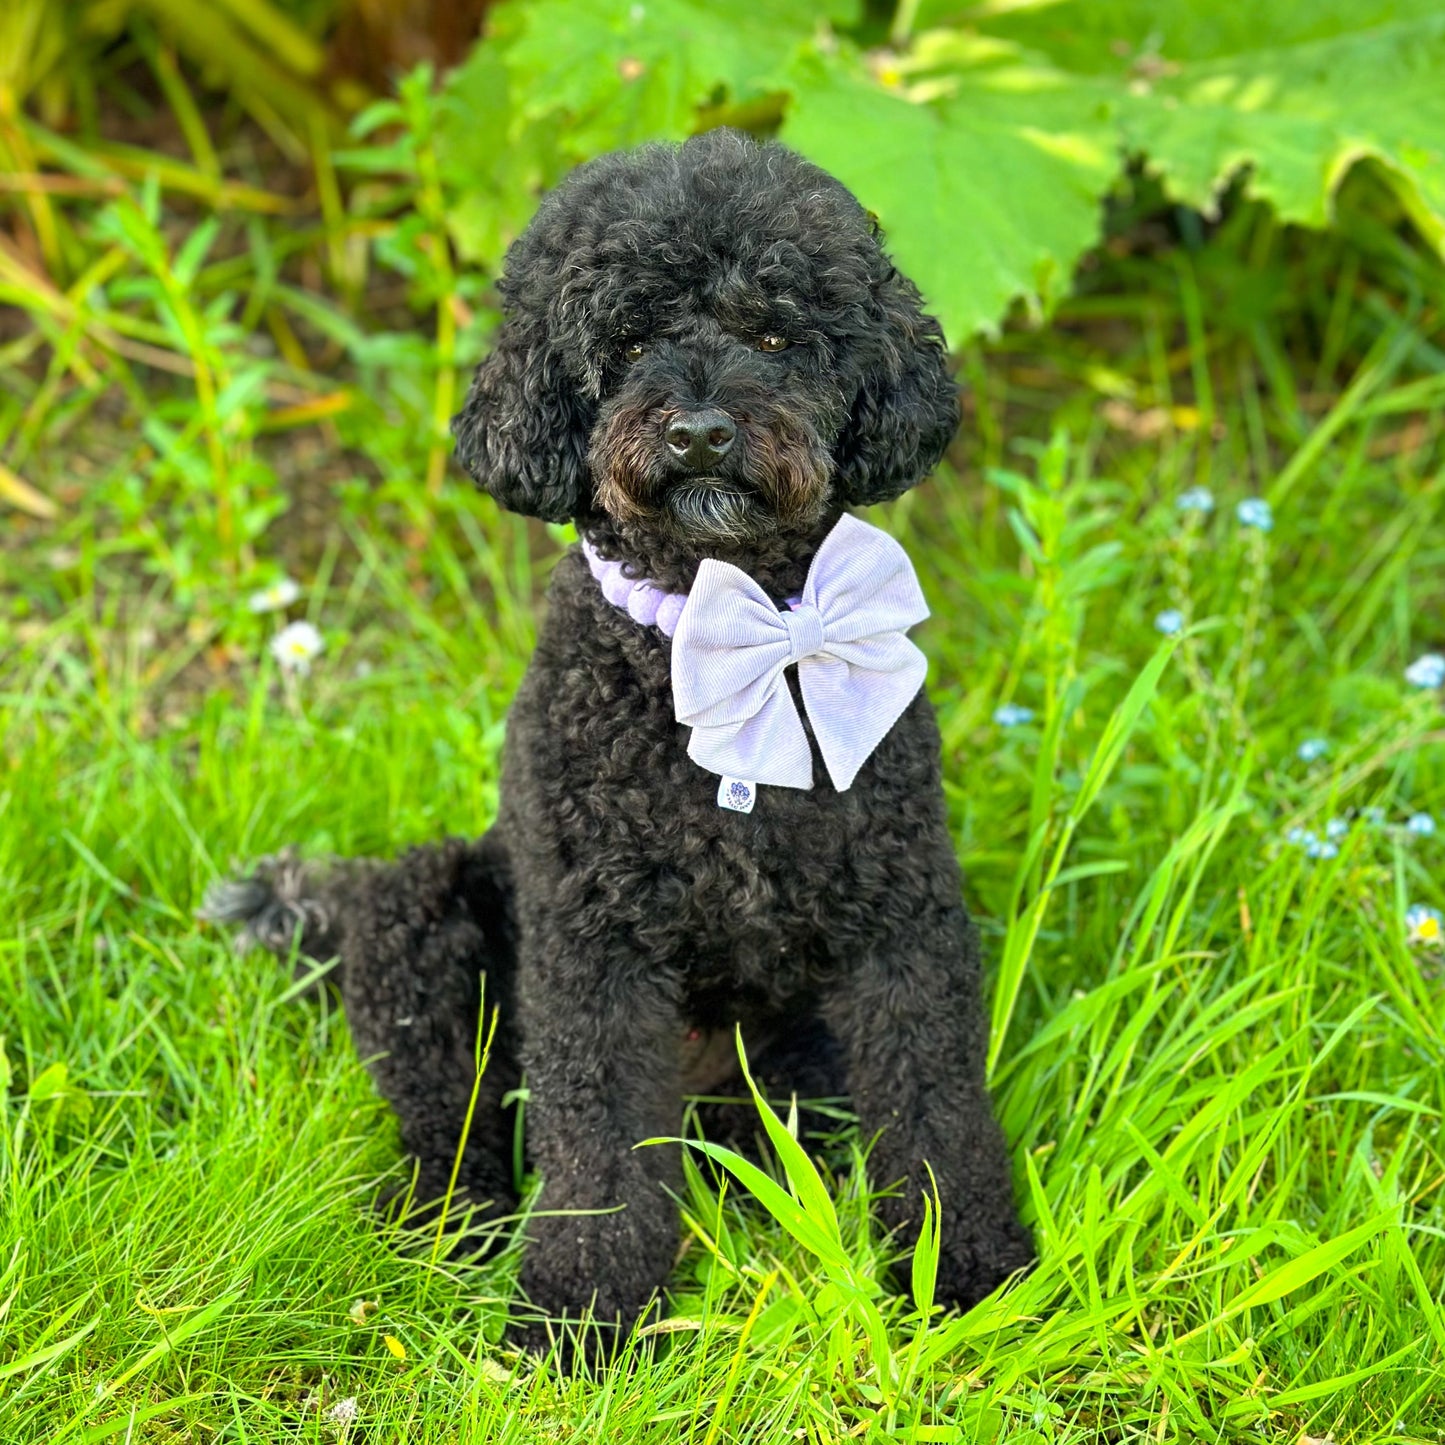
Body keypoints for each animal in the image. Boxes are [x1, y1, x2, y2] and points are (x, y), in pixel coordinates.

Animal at [209, 124, 1034, 1352]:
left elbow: (934, 1111)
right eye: (629, 338)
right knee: (449, 1127)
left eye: (775, 332)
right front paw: (578, 1311)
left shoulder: (900, 923)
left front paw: (966, 1274)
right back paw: (443, 1227)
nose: (698, 429)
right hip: (421, 918)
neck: (718, 632)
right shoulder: (592, 948)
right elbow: (594, 1141)